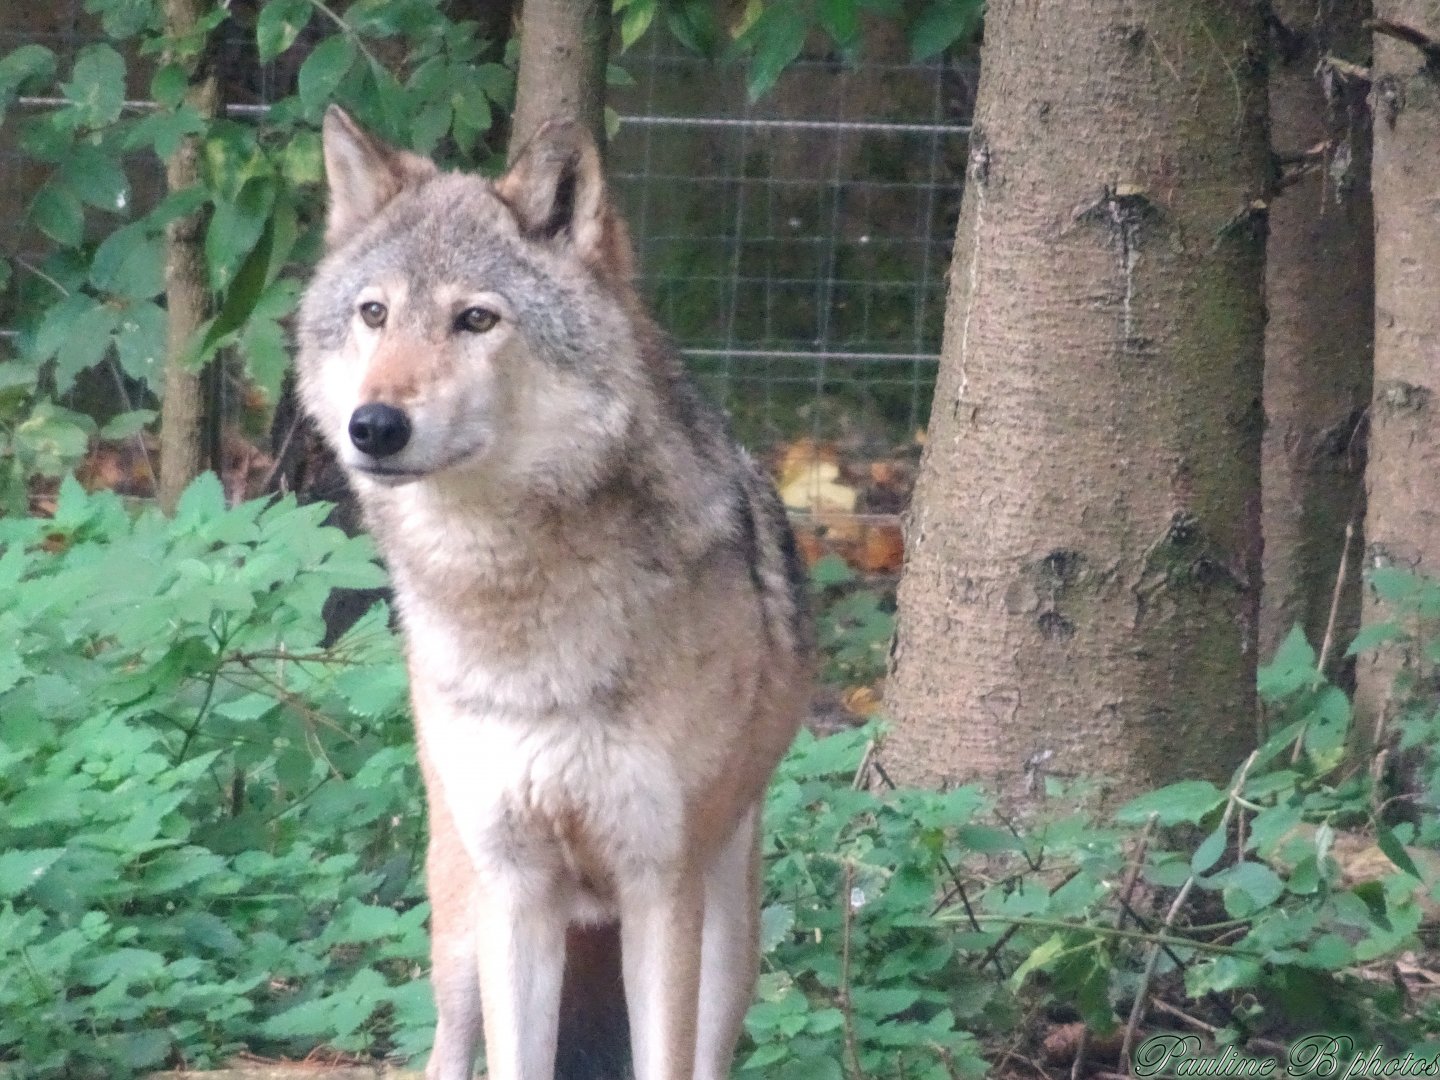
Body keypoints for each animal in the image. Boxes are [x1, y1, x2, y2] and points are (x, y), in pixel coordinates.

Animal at [295, 106, 814, 1080]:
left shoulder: (660, 888)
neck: (512, 601)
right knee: (446, 1052)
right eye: (374, 313)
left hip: (728, 937)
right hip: (461, 929)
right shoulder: (517, 890)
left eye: (476, 319)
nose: (374, 425)